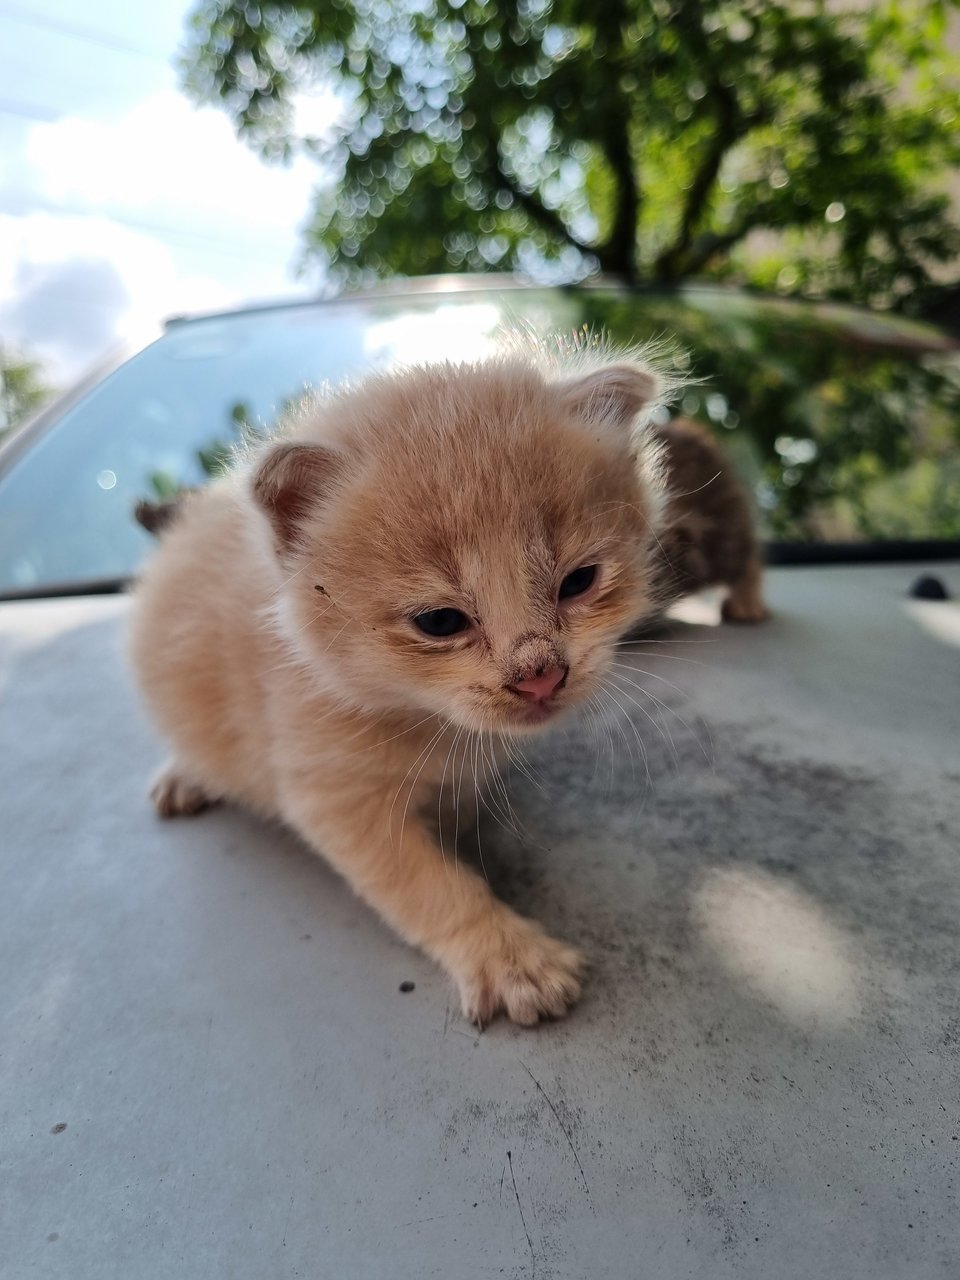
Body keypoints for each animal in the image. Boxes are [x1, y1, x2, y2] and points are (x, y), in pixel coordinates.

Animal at [131, 353, 768, 1029]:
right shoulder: (333, 795)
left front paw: (458, 821)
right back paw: (185, 776)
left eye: (579, 581)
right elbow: (433, 887)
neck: (431, 722)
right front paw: (513, 961)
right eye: (439, 622)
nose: (541, 674)